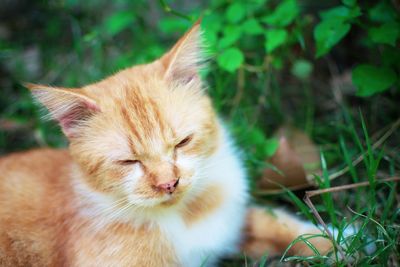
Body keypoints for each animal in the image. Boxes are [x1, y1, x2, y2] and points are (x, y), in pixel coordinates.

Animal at [0, 21, 332, 267]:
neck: (183, 217)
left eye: (182, 142)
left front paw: (336, 239)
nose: (168, 183)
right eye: (128, 161)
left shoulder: (233, 224)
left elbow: (278, 224)